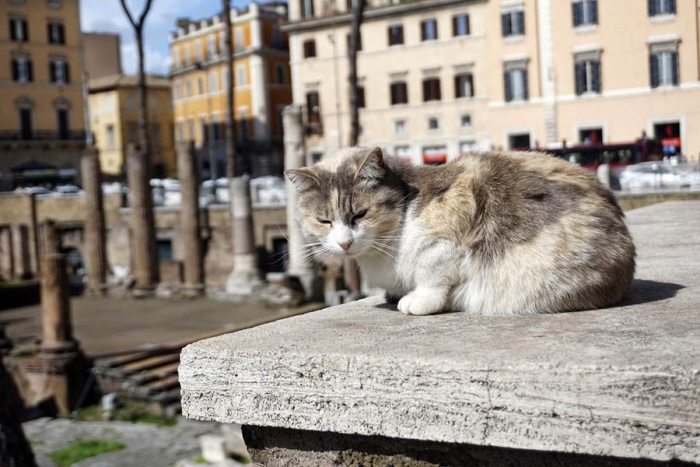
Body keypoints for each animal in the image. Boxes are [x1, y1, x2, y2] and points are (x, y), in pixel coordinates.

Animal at [284, 148, 636, 316]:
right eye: (324, 221)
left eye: (360, 214)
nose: (344, 243)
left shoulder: (447, 233)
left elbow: (433, 275)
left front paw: (417, 300)